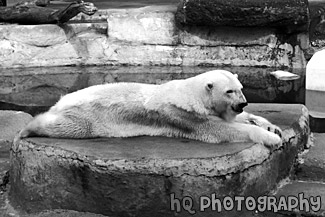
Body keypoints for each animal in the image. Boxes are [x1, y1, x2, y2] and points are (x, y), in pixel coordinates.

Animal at [18, 70, 280, 147]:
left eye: (241, 88)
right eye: (229, 91)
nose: (243, 103)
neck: (190, 95)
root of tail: (61, 100)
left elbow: (235, 121)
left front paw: (271, 126)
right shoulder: (186, 116)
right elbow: (223, 131)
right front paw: (271, 138)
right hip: (88, 115)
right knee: (69, 126)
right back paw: (25, 129)